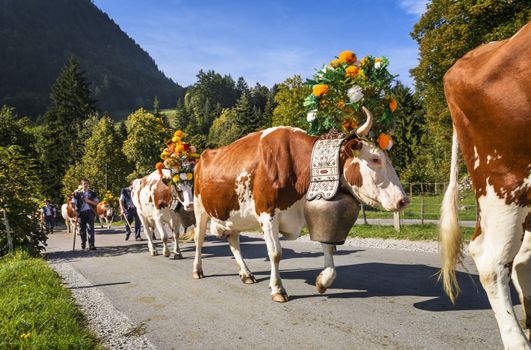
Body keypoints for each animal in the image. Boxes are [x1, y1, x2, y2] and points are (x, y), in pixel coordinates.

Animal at [133, 130, 200, 258]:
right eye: (178, 189)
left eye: (192, 187)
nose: (190, 205)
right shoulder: (157, 216)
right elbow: (164, 236)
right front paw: (166, 252)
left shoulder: (176, 218)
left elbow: (176, 235)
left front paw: (177, 251)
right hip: (141, 214)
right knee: (148, 233)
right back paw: (153, 249)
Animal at [193, 50, 410, 302]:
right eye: (375, 159)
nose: (403, 200)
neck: (298, 167)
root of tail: (204, 154)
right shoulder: (267, 212)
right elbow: (276, 253)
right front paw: (278, 289)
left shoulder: (311, 210)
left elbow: (328, 246)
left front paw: (323, 281)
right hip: (199, 208)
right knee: (199, 238)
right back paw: (198, 270)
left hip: (232, 212)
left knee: (233, 240)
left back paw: (246, 274)